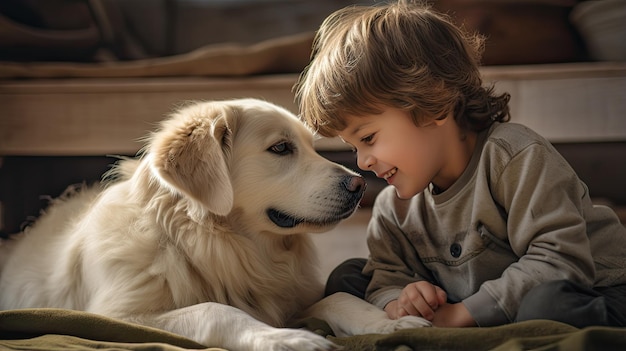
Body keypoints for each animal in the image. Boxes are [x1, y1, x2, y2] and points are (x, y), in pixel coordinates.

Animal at [0, 99, 428, 351]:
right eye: (280, 148)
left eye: (311, 146)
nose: (360, 185)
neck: (211, 243)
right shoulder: (116, 316)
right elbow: (214, 309)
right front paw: (286, 338)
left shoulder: (285, 296)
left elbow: (338, 297)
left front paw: (389, 323)